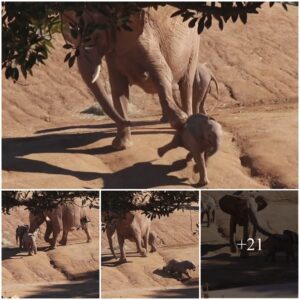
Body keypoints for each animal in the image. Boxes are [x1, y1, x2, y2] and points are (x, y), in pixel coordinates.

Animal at [60, 4, 202, 150]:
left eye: (96, 36)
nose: (130, 122)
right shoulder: (114, 51)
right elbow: (118, 88)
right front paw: (121, 146)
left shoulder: (146, 37)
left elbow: (162, 72)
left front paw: (181, 120)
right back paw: (166, 120)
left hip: (195, 41)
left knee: (186, 83)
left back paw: (187, 120)